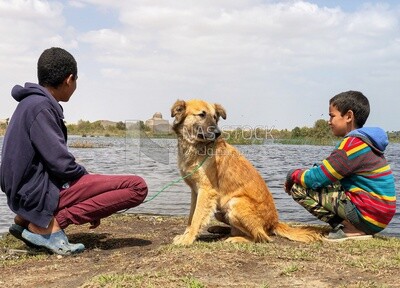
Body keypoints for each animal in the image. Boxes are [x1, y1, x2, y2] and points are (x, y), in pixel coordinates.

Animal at [171, 99, 322, 245]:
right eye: (202, 115)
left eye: (215, 117)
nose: (218, 133)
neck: (195, 147)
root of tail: (274, 223)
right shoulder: (195, 191)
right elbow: (191, 217)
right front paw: (186, 235)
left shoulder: (206, 191)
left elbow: (196, 218)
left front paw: (188, 239)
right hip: (221, 211)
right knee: (236, 230)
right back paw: (218, 229)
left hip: (235, 203)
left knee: (261, 237)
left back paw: (236, 239)